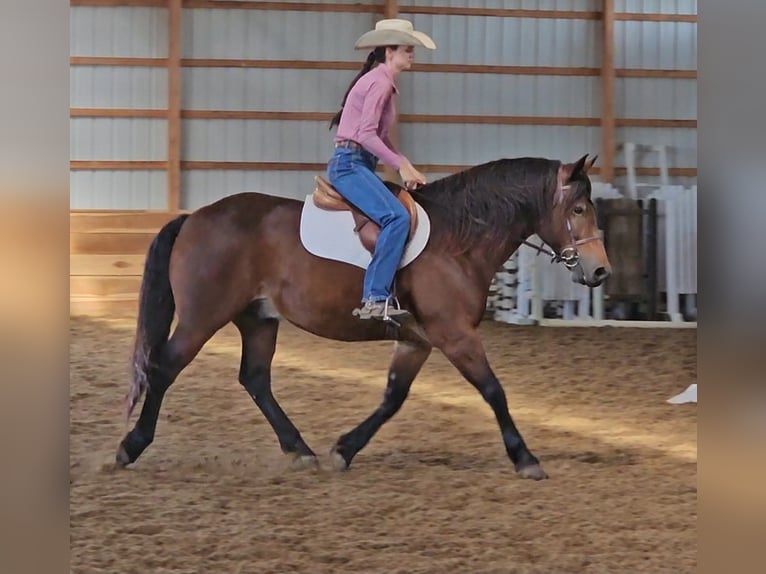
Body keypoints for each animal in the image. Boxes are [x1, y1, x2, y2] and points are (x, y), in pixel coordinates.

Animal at [117, 153, 611, 480]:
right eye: (578, 209)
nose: (601, 271)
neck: (457, 239)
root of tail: (193, 217)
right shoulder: (455, 336)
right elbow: (494, 391)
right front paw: (525, 458)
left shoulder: (417, 340)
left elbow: (393, 398)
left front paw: (344, 450)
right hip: (203, 317)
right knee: (165, 368)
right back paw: (130, 447)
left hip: (258, 319)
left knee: (255, 379)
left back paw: (300, 450)